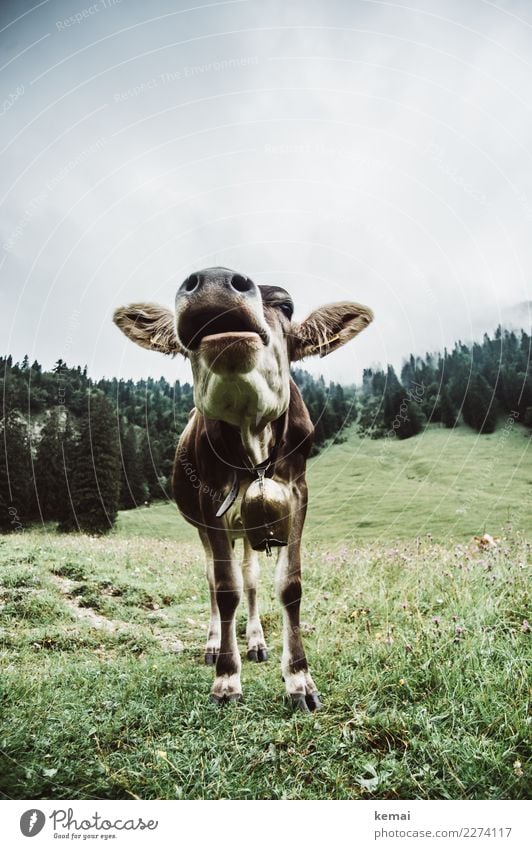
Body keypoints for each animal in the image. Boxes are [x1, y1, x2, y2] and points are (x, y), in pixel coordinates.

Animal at [114, 270, 372, 708]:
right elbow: (225, 588)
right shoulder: (209, 504)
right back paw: (214, 644)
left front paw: (299, 679)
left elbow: (288, 584)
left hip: (250, 529)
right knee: (214, 580)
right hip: (208, 527)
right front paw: (226, 677)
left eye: (286, 305)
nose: (215, 281)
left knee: (251, 578)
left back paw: (255, 641)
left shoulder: (297, 494)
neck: (250, 431)